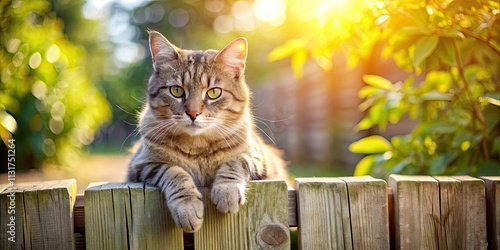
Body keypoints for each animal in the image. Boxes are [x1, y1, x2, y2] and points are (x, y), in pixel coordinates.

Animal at [127, 30, 288, 232]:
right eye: (176, 90)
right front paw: (187, 208)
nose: (193, 113)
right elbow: (174, 172)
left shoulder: (256, 158)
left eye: (213, 93)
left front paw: (227, 192)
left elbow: (235, 162)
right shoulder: (143, 164)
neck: (197, 147)